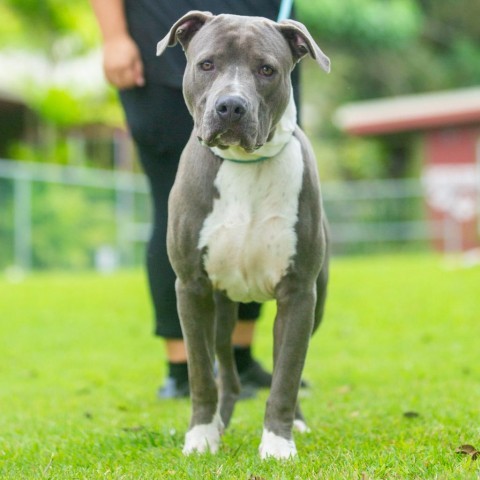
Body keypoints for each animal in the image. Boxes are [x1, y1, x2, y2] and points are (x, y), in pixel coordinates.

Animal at [158, 11, 330, 460]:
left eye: (266, 69)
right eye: (207, 64)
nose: (231, 105)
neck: (244, 165)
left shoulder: (299, 293)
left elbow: (287, 373)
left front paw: (278, 443)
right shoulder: (192, 288)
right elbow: (202, 373)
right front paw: (201, 435)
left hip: (316, 305)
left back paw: (294, 423)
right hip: (221, 309)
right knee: (227, 373)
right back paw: (219, 423)